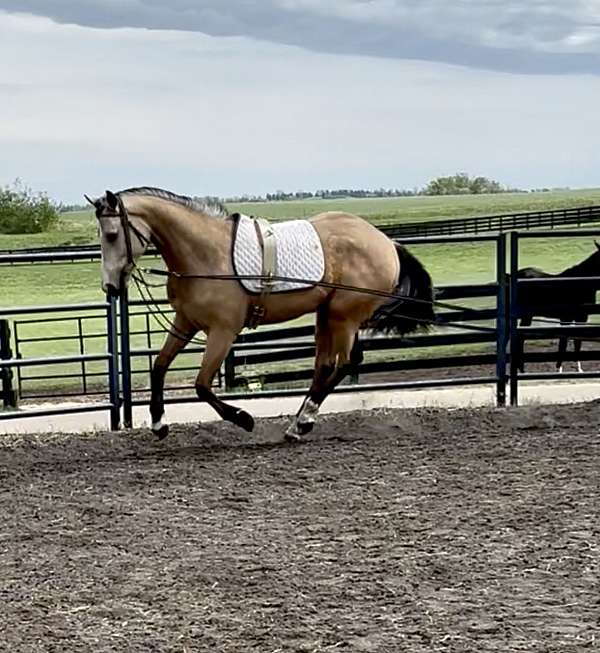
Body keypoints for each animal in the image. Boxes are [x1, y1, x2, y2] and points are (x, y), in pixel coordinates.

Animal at [87, 187, 435, 440]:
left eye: (112, 235)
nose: (110, 287)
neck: (206, 255)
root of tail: (386, 242)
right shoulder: (185, 322)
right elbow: (159, 367)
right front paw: (159, 424)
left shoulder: (223, 332)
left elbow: (202, 385)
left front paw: (244, 418)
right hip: (327, 314)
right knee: (325, 366)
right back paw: (300, 422)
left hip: (343, 317)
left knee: (345, 363)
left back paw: (302, 421)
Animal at [514, 242, 600, 373]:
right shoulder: (566, 319)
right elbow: (563, 343)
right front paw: (559, 369)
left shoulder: (582, 318)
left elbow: (577, 341)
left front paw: (579, 369)